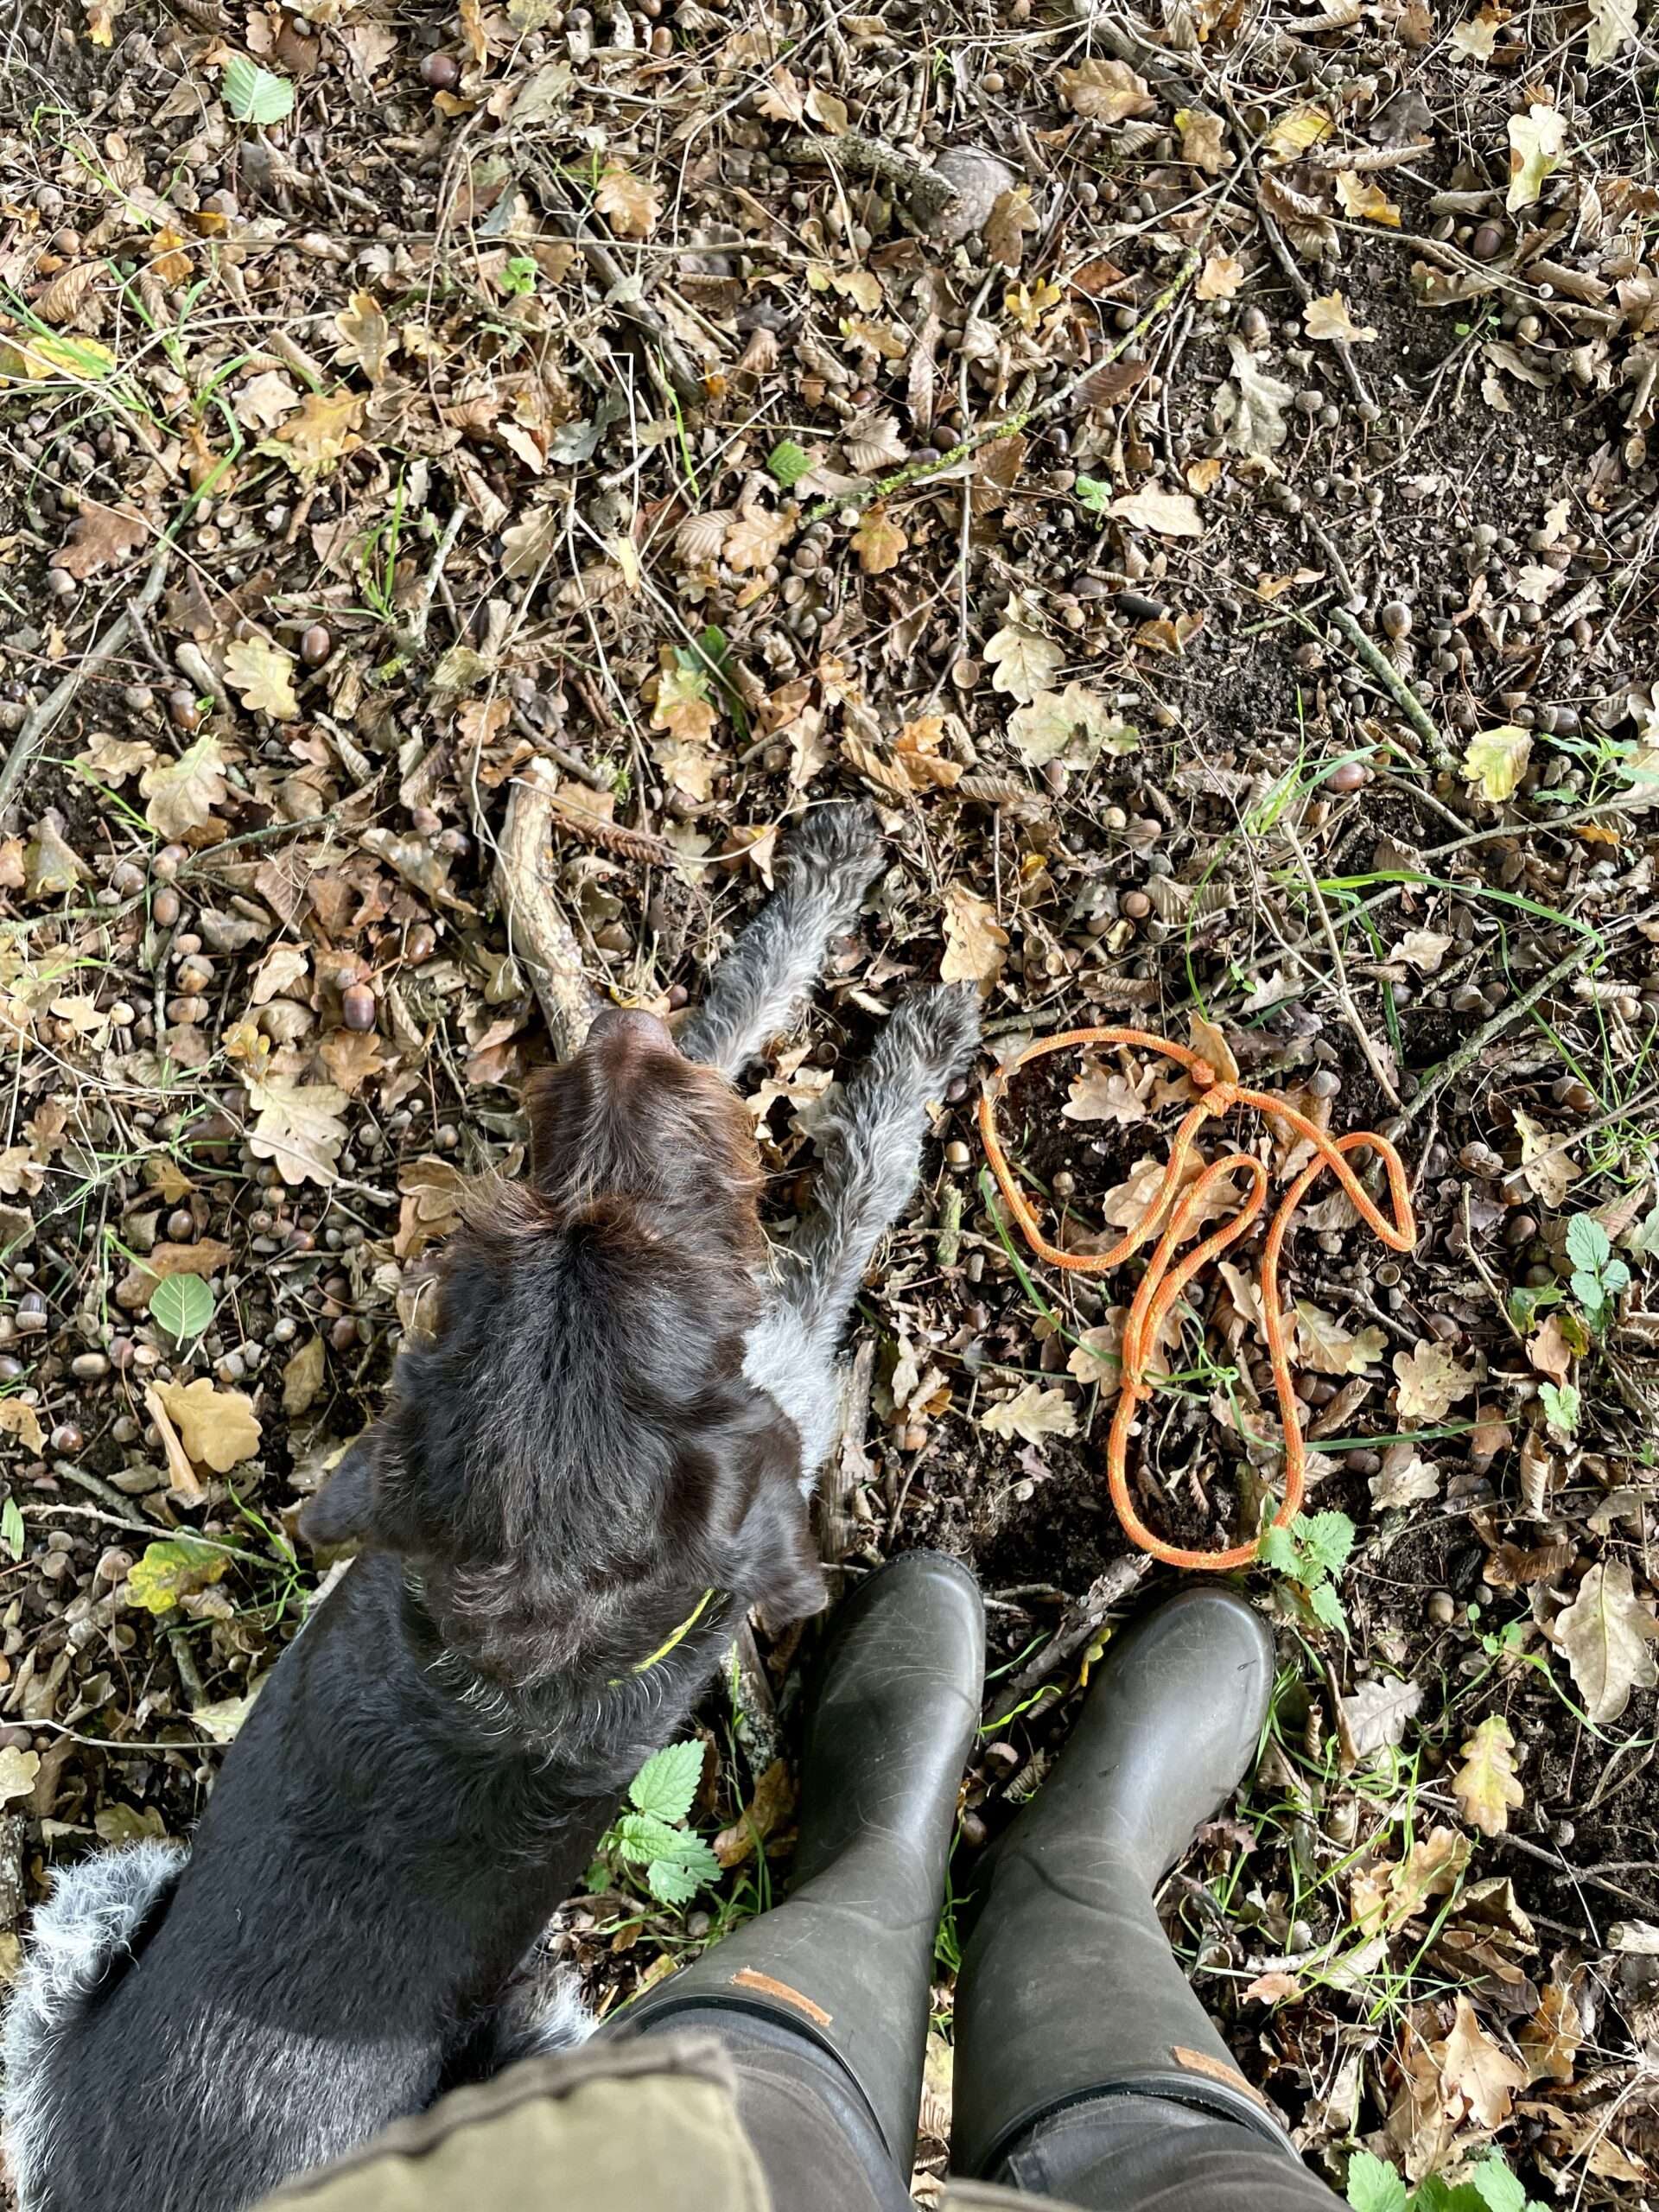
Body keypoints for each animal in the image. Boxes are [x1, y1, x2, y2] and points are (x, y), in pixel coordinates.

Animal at [0, 809, 982, 2212]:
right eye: (649, 1254)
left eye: (534, 1224)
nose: (615, 1039)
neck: (520, 1641)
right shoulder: (784, 1358)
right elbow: (850, 1193)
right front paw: (909, 1045)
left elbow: (729, 1026)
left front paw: (813, 900)